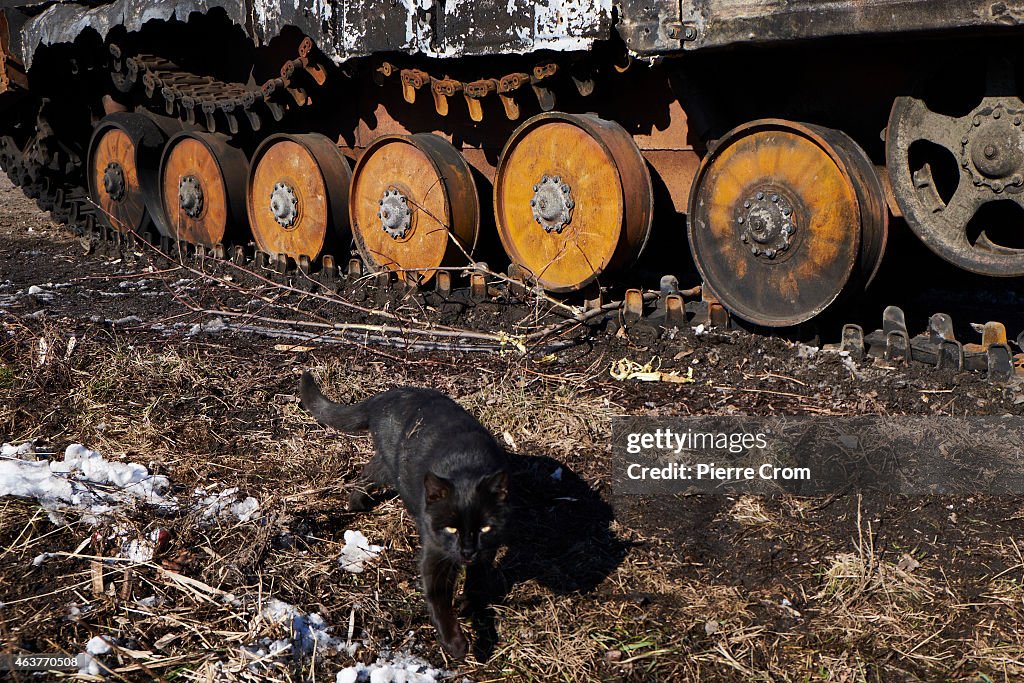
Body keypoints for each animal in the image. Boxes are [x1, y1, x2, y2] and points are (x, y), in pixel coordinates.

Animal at [299, 370, 509, 659]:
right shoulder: (434, 552)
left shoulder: (489, 547)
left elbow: (478, 578)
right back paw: (355, 505)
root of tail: (384, 396)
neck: (466, 468)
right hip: (393, 466)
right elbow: (438, 597)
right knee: (369, 473)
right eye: (451, 528)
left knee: (368, 471)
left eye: (484, 528)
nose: (467, 551)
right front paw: (456, 644)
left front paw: (469, 605)